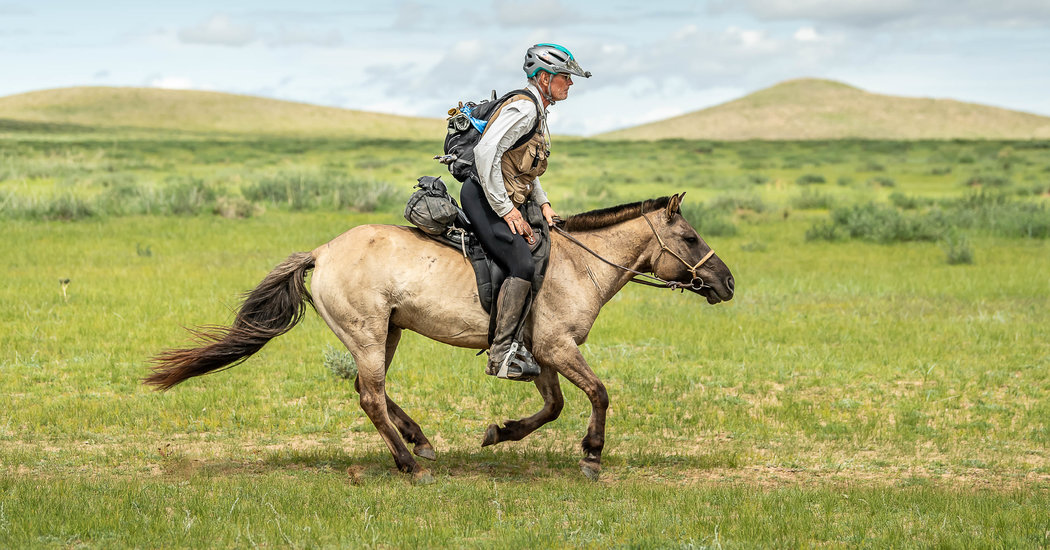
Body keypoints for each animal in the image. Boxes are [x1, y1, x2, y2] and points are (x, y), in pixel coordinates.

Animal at [145, 193, 735, 480]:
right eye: (689, 237)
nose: (727, 282)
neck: (578, 265)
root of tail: (322, 251)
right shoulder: (558, 348)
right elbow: (598, 394)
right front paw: (592, 457)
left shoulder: (540, 354)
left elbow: (554, 406)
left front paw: (500, 432)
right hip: (368, 335)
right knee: (370, 396)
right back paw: (409, 465)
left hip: (386, 333)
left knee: (370, 392)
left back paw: (421, 443)